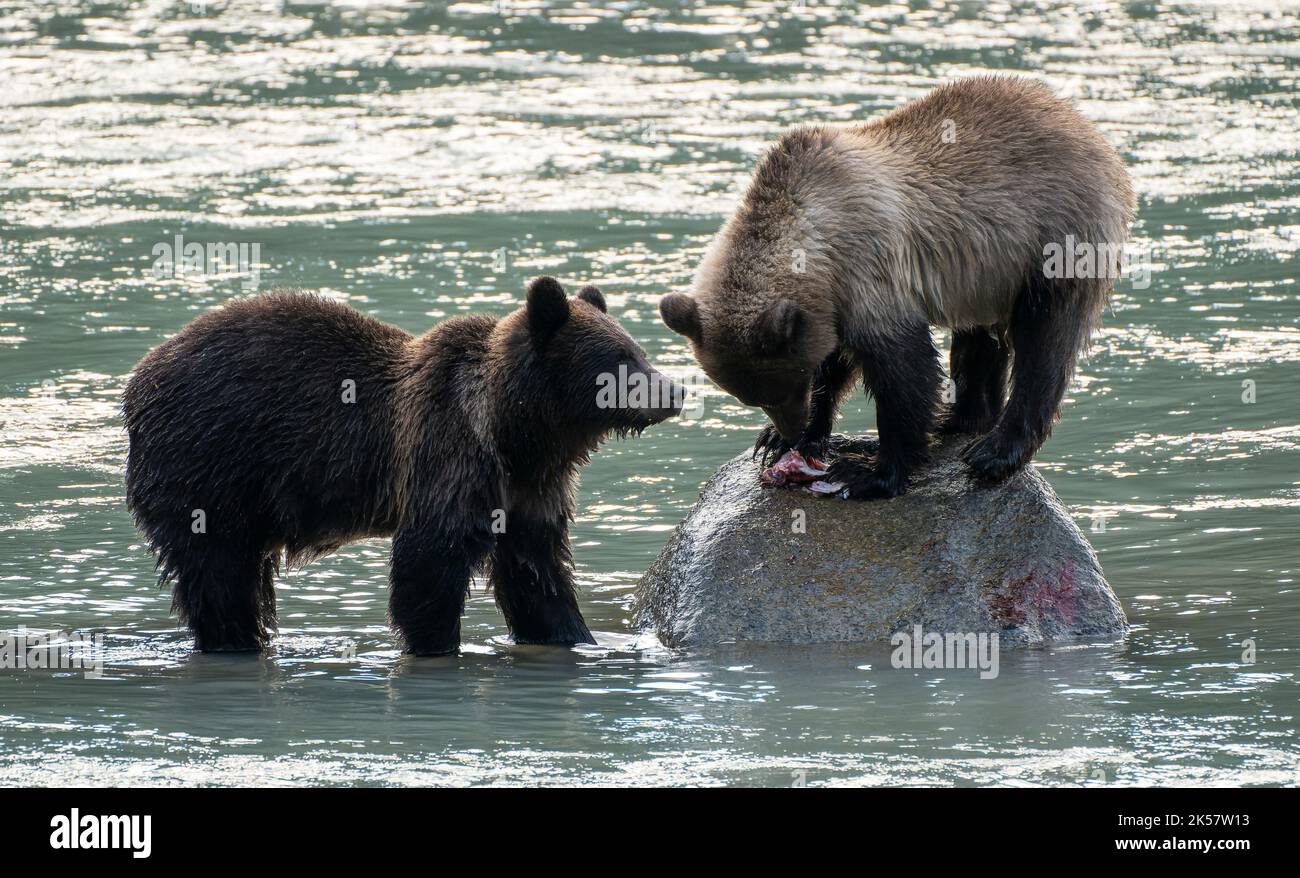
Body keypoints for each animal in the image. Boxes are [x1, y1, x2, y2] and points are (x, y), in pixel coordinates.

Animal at [123, 277, 681, 654]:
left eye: (638, 350)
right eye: (620, 359)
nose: (673, 390)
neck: (516, 431)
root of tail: (137, 381)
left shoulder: (529, 489)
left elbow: (536, 570)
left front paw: (575, 635)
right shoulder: (447, 454)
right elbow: (429, 562)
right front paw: (436, 644)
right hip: (209, 466)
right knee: (218, 572)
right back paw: (233, 639)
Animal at [660, 75, 1135, 499]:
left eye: (786, 385)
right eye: (753, 397)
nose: (788, 427)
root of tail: (1086, 127)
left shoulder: (869, 266)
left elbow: (903, 368)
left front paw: (869, 472)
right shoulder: (833, 298)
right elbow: (838, 358)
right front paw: (784, 440)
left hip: (1055, 238)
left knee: (1044, 342)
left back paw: (995, 450)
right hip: (986, 275)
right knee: (978, 338)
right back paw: (957, 417)